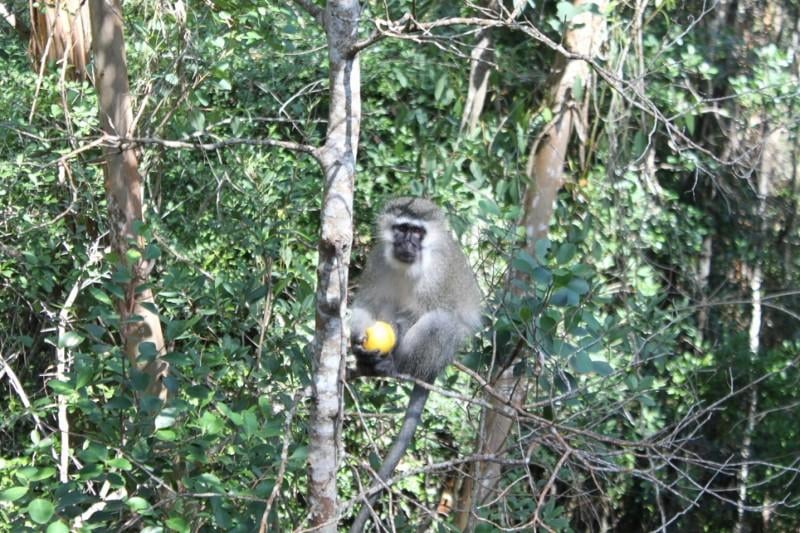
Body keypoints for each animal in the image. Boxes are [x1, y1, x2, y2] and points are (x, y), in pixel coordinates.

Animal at [346, 197, 478, 528]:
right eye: (401, 228)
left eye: (417, 232)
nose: (407, 242)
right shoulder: (378, 260)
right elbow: (367, 303)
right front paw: (360, 347)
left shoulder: (437, 276)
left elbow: (427, 315)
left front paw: (386, 359)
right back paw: (368, 363)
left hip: (439, 350)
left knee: (440, 322)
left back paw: (395, 367)